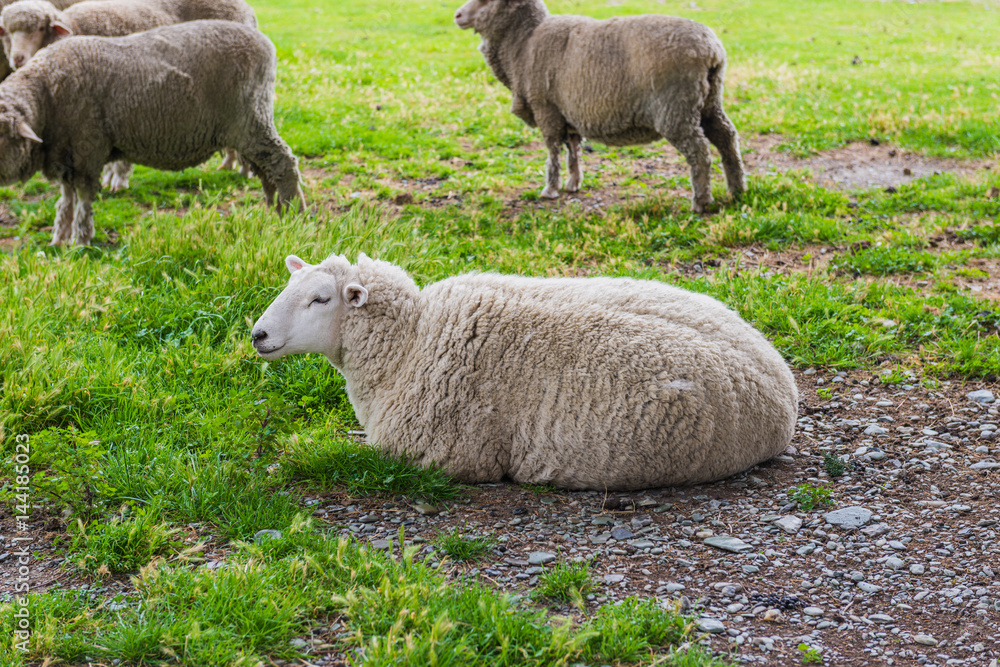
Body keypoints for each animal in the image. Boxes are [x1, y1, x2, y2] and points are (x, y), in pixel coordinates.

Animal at [0, 0, 260, 190]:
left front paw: (118, 180)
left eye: (40, 28)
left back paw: (243, 169)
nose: (18, 59)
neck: (75, 27)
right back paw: (228, 163)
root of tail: (247, 9)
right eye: (8, 34)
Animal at [0, 20, 306, 245]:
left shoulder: (88, 148)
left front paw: (81, 240)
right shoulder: (66, 153)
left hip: (251, 118)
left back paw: (294, 213)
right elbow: (66, 198)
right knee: (265, 169)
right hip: (247, 128)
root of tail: (265, 42)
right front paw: (59, 238)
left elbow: (84, 199)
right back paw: (273, 211)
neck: (45, 94)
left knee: (283, 163)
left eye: (2, 137)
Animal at [250, 252, 796, 490]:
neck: (411, 345)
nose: (257, 335)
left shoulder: (441, 456)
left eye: (321, 299)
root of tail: (783, 386)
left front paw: (286, 460)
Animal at [454, 0, 744, 213]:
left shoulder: (545, 107)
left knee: (699, 151)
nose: (457, 15)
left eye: (488, 0)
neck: (523, 42)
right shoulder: (567, 112)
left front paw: (550, 189)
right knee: (726, 138)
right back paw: (737, 190)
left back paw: (701, 202)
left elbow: (552, 151)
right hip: (708, 101)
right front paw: (573, 183)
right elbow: (572, 150)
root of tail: (711, 49)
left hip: (676, 108)